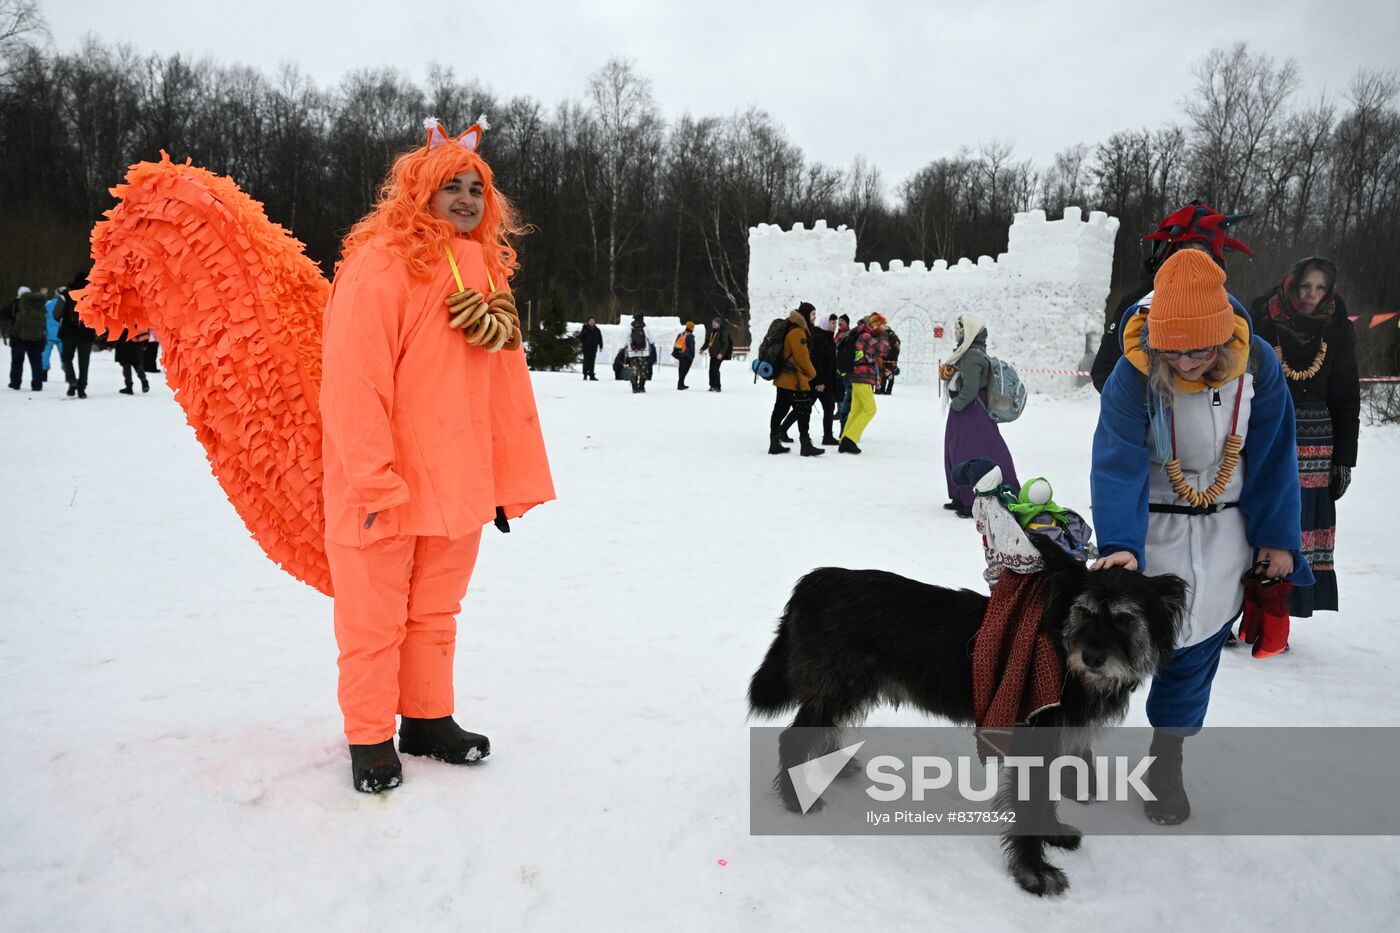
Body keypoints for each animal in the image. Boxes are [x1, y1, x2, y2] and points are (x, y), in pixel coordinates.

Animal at [750, 535, 1187, 896]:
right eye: (1083, 611)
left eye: (1126, 618)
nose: (1093, 657)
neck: (1061, 657)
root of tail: (814, 582)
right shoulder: (1032, 747)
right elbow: (1030, 807)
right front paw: (1033, 872)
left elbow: (1046, 801)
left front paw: (1054, 834)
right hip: (839, 687)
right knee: (792, 739)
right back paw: (795, 799)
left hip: (845, 691)